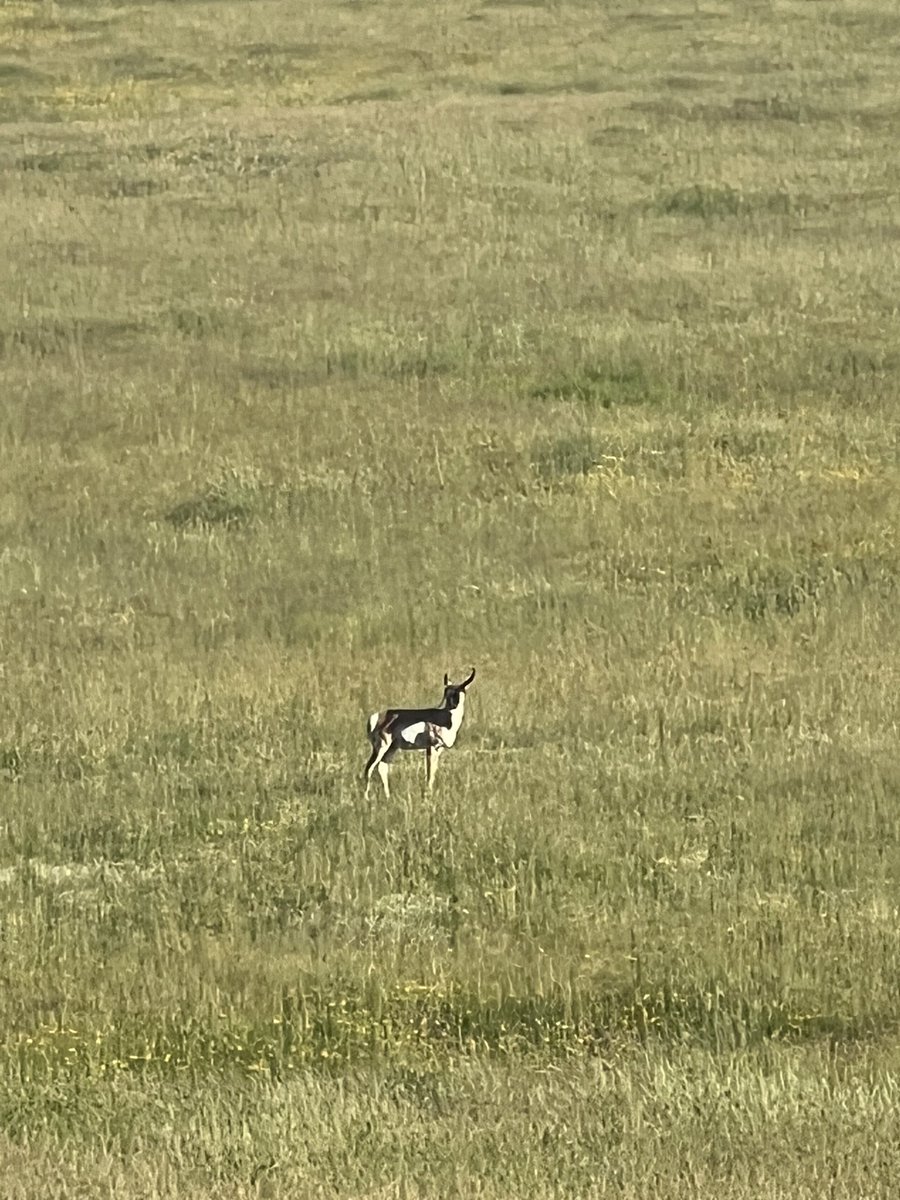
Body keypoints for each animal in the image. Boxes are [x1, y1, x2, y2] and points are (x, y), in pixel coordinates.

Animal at [363, 668, 476, 799]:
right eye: (446, 692)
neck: (445, 718)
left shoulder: (439, 749)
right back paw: (367, 798)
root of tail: (377, 717)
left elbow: (433, 772)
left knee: (382, 767)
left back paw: (388, 797)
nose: (451, 706)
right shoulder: (431, 748)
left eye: (457, 692)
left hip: (392, 748)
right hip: (381, 748)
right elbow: (430, 773)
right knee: (369, 768)